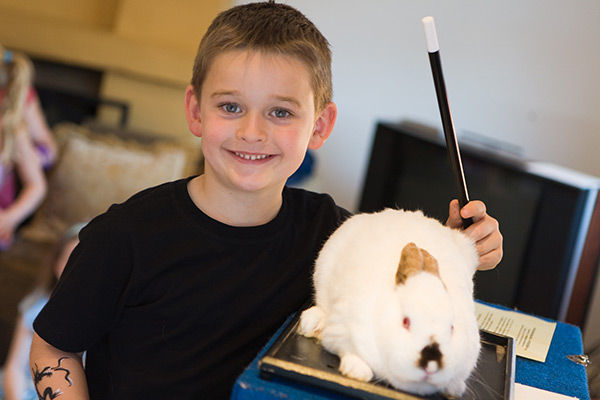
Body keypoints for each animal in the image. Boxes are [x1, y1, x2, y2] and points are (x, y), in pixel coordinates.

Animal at [298, 209, 480, 396]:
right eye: (405, 322)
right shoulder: (342, 329)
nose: (431, 364)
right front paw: (357, 371)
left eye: (452, 328)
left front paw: (455, 390)